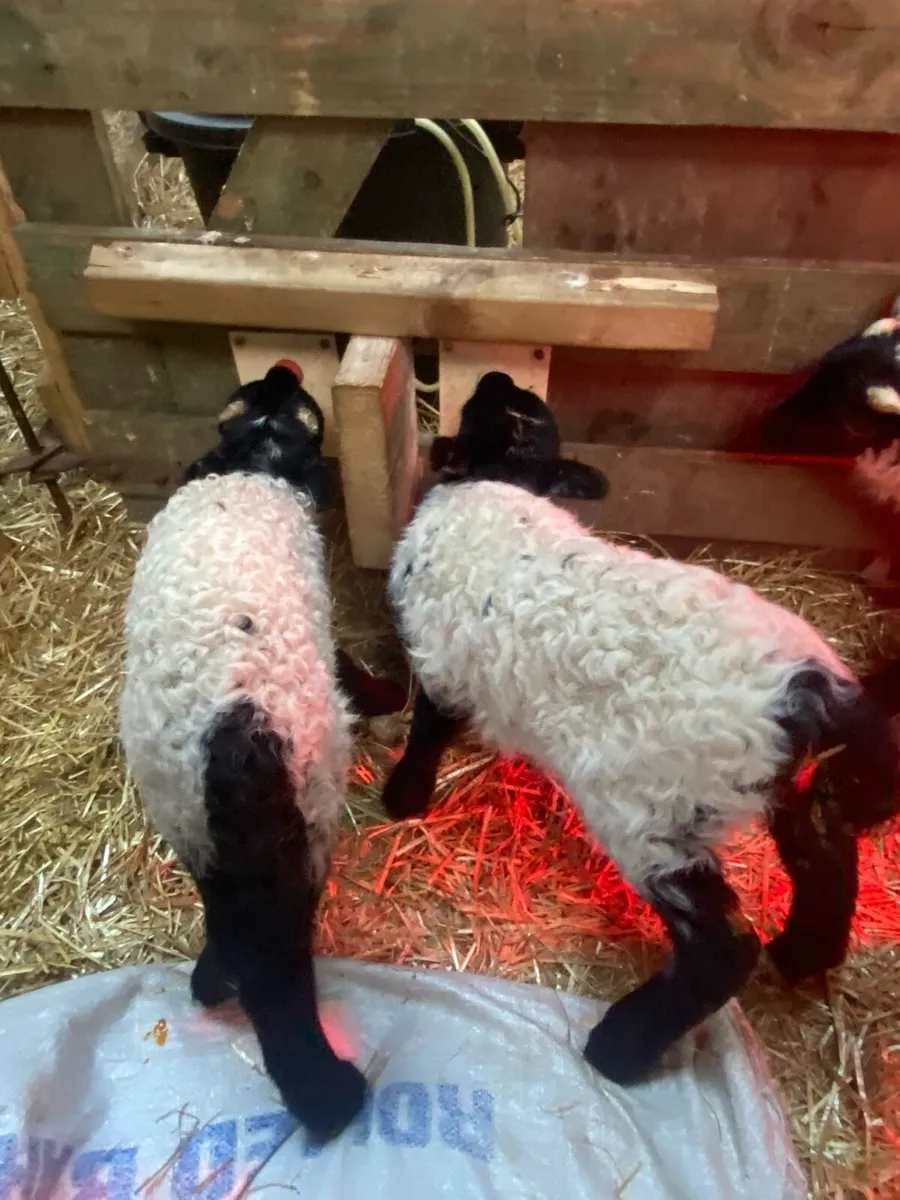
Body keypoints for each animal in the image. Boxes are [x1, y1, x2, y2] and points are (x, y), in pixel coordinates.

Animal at [120, 362, 406, 1144]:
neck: (254, 462)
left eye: (265, 393)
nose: (285, 368)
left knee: (231, 922)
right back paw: (325, 1093)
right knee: (279, 958)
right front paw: (384, 693)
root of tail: (233, 738)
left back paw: (211, 981)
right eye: (313, 412)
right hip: (306, 813)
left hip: (189, 816)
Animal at [380, 370, 900, 1087]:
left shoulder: (439, 654)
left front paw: (403, 796)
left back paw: (620, 1046)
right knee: (826, 853)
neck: (491, 482)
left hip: (655, 814)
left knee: (723, 947)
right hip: (782, 786)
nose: (494, 376)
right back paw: (802, 955)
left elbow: (428, 725)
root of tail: (808, 689)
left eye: (489, 407)